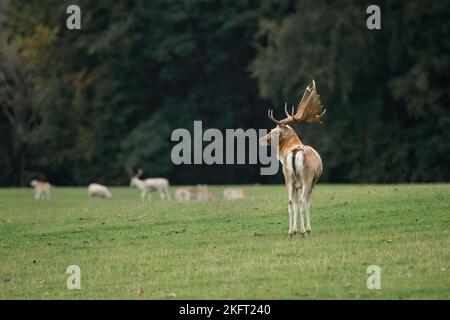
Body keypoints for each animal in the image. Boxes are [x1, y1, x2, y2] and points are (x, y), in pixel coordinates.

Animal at [258, 80, 326, 238]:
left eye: (272, 131)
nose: (261, 139)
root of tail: (295, 152)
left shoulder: (294, 184)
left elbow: (294, 204)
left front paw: (294, 229)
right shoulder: (312, 182)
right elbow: (308, 203)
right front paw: (307, 229)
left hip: (288, 178)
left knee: (290, 202)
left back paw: (291, 231)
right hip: (307, 178)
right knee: (302, 201)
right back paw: (304, 231)